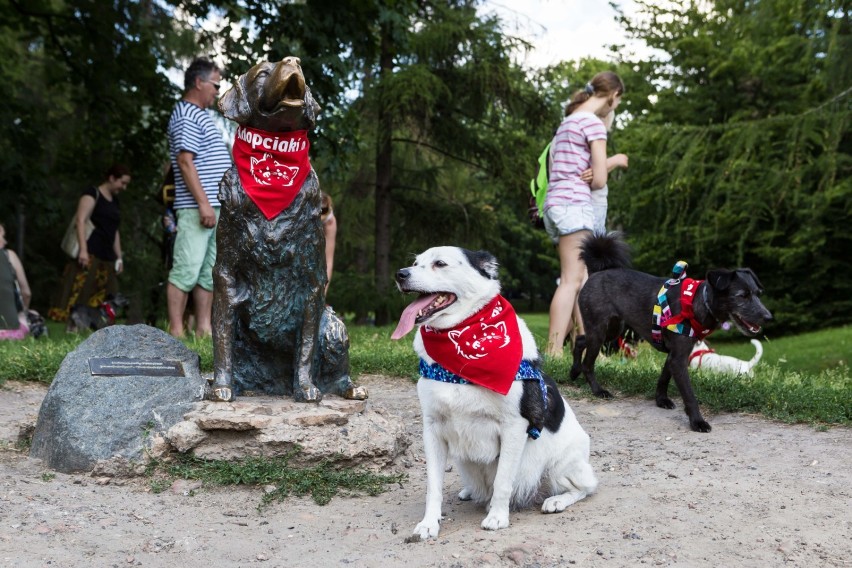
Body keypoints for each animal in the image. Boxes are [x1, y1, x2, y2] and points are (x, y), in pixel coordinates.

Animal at [390, 246, 596, 540]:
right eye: (416, 262)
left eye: (440, 263)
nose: (400, 274)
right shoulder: (432, 428)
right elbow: (433, 485)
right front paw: (429, 522)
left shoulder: (513, 427)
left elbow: (502, 481)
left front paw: (498, 517)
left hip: (560, 466)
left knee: (586, 487)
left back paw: (556, 500)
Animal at [572, 233, 772, 432]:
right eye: (741, 296)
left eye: (758, 293)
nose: (768, 317)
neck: (699, 302)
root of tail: (595, 273)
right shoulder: (679, 358)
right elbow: (689, 395)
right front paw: (697, 421)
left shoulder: (674, 354)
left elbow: (663, 378)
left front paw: (661, 400)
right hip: (600, 331)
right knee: (588, 363)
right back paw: (597, 390)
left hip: (611, 330)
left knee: (580, 340)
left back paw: (574, 371)